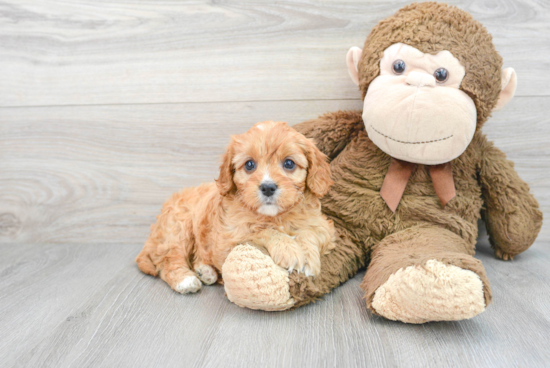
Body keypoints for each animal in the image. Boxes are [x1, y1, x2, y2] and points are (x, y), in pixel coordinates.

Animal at [138, 121, 336, 294]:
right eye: (249, 164)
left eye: (289, 163)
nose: (268, 187)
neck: (274, 216)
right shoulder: (229, 239)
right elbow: (262, 231)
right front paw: (288, 250)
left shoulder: (324, 227)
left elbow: (310, 232)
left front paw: (308, 258)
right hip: (177, 227)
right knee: (168, 259)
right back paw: (185, 280)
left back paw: (206, 271)